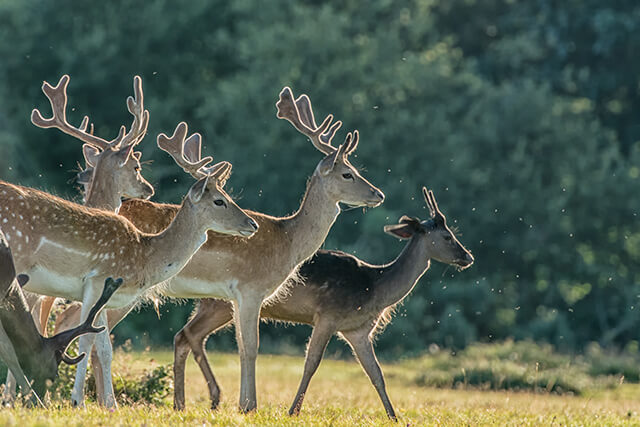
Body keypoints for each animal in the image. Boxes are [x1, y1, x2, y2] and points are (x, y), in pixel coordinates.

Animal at [53, 86, 384, 412]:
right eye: (347, 173)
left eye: (355, 168)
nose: (378, 194)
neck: (288, 242)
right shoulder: (250, 289)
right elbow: (250, 347)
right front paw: (249, 406)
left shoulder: (234, 297)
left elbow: (240, 344)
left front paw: (242, 403)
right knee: (74, 318)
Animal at [171, 188, 476, 422]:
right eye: (448, 236)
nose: (468, 257)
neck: (376, 288)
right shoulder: (328, 316)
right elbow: (312, 362)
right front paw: (292, 411)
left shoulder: (358, 331)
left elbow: (376, 372)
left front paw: (394, 416)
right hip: (221, 304)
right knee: (190, 335)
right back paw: (210, 398)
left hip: (213, 305)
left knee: (185, 334)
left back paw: (196, 401)